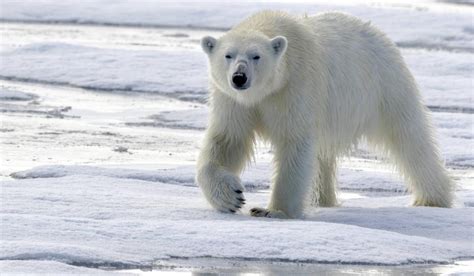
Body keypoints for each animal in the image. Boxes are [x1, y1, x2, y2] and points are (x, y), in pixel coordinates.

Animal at [195, 10, 452, 218]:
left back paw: (432, 199)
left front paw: (272, 211)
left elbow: (295, 142)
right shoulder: (233, 101)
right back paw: (323, 198)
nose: (239, 77)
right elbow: (228, 140)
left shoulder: (295, 86)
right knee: (323, 156)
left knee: (410, 139)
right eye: (228, 55)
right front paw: (231, 197)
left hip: (384, 88)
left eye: (256, 56)